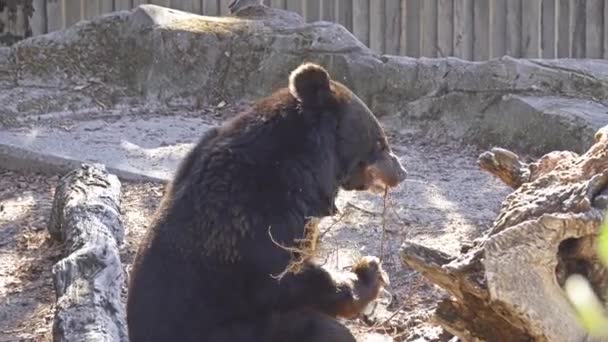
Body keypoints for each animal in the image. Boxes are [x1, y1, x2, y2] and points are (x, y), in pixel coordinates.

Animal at [125, 62, 406, 340]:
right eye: (381, 142)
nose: (401, 171)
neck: (309, 165)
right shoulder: (259, 217)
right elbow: (283, 279)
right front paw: (369, 272)